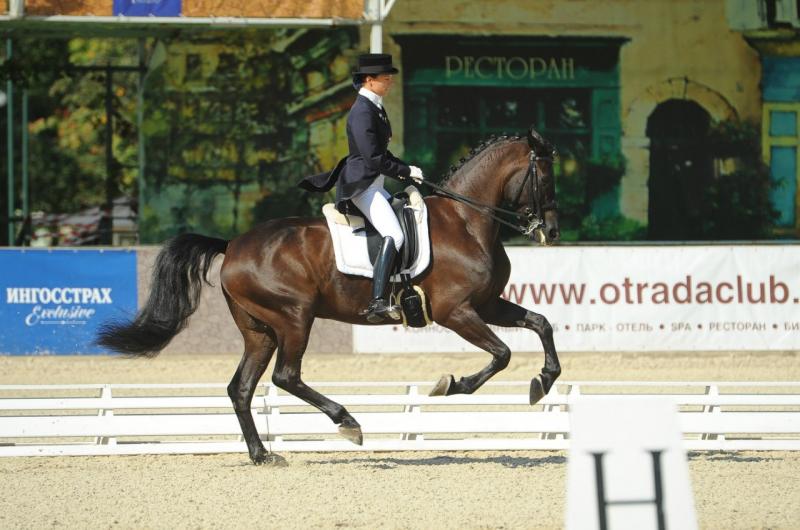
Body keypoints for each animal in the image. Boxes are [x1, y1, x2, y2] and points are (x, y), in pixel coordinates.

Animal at [97, 125, 562, 465]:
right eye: (544, 177)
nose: (552, 233)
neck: (467, 220)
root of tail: (232, 245)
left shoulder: (486, 304)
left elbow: (541, 324)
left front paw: (542, 382)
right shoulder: (456, 311)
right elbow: (501, 354)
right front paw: (449, 385)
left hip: (260, 330)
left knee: (241, 388)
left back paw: (262, 455)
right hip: (294, 318)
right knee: (286, 376)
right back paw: (347, 422)